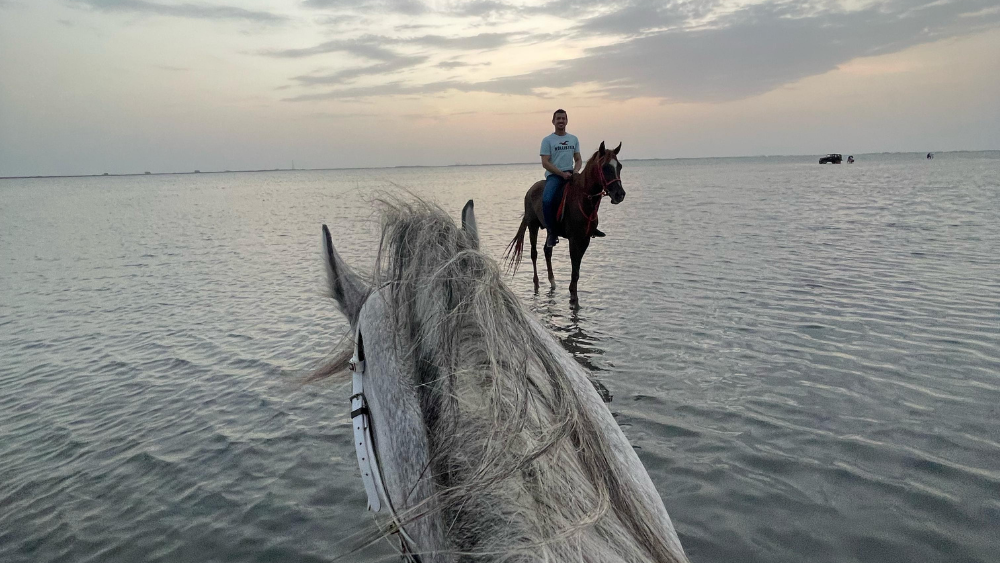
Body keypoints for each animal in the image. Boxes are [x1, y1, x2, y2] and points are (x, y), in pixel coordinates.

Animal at [504, 141, 626, 304]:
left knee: (547, 251)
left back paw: (552, 281)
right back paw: (536, 283)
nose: (620, 194)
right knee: (534, 253)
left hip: (550, 231)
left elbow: (577, 270)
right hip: (532, 226)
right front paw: (573, 296)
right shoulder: (574, 240)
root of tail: (530, 190)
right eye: (605, 167)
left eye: (619, 166)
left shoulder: (585, 240)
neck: (583, 199)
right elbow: (574, 270)